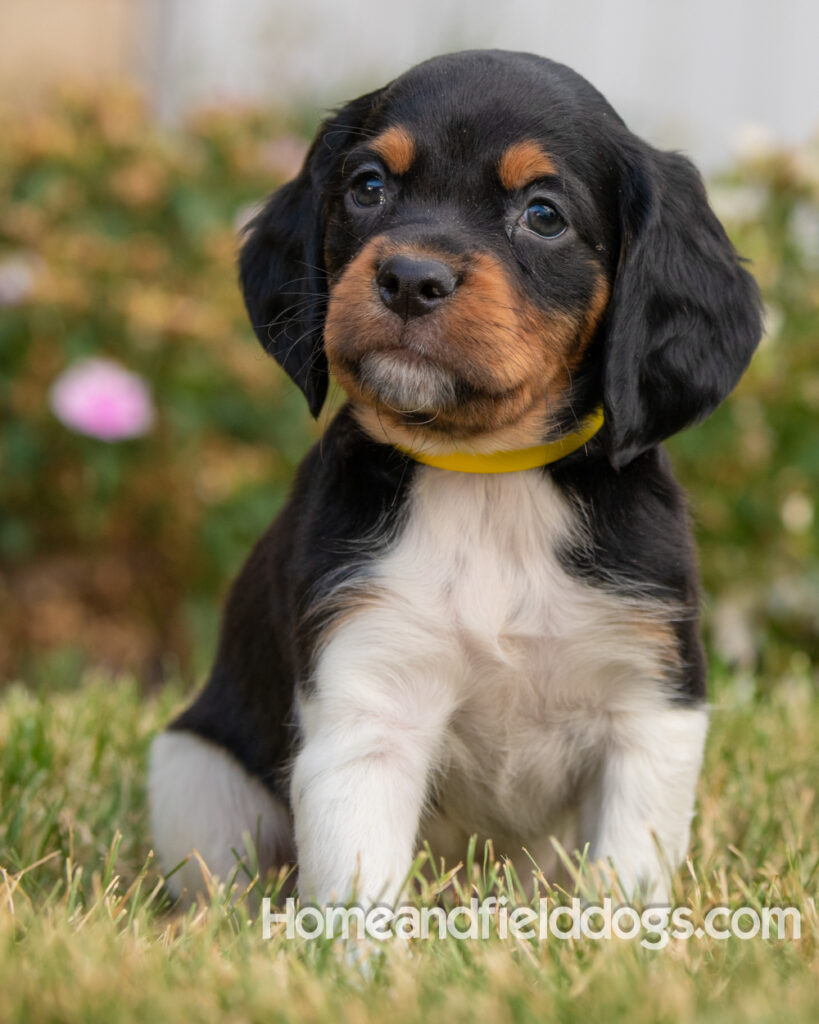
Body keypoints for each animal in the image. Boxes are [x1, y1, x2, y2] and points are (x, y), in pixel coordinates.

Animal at [147, 51, 761, 909]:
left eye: (543, 215)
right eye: (368, 186)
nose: (409, 278)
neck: (486, 479)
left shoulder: (650, 705)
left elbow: (623, 883)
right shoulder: (367, 700)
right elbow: (359, 893)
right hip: (192, 771)